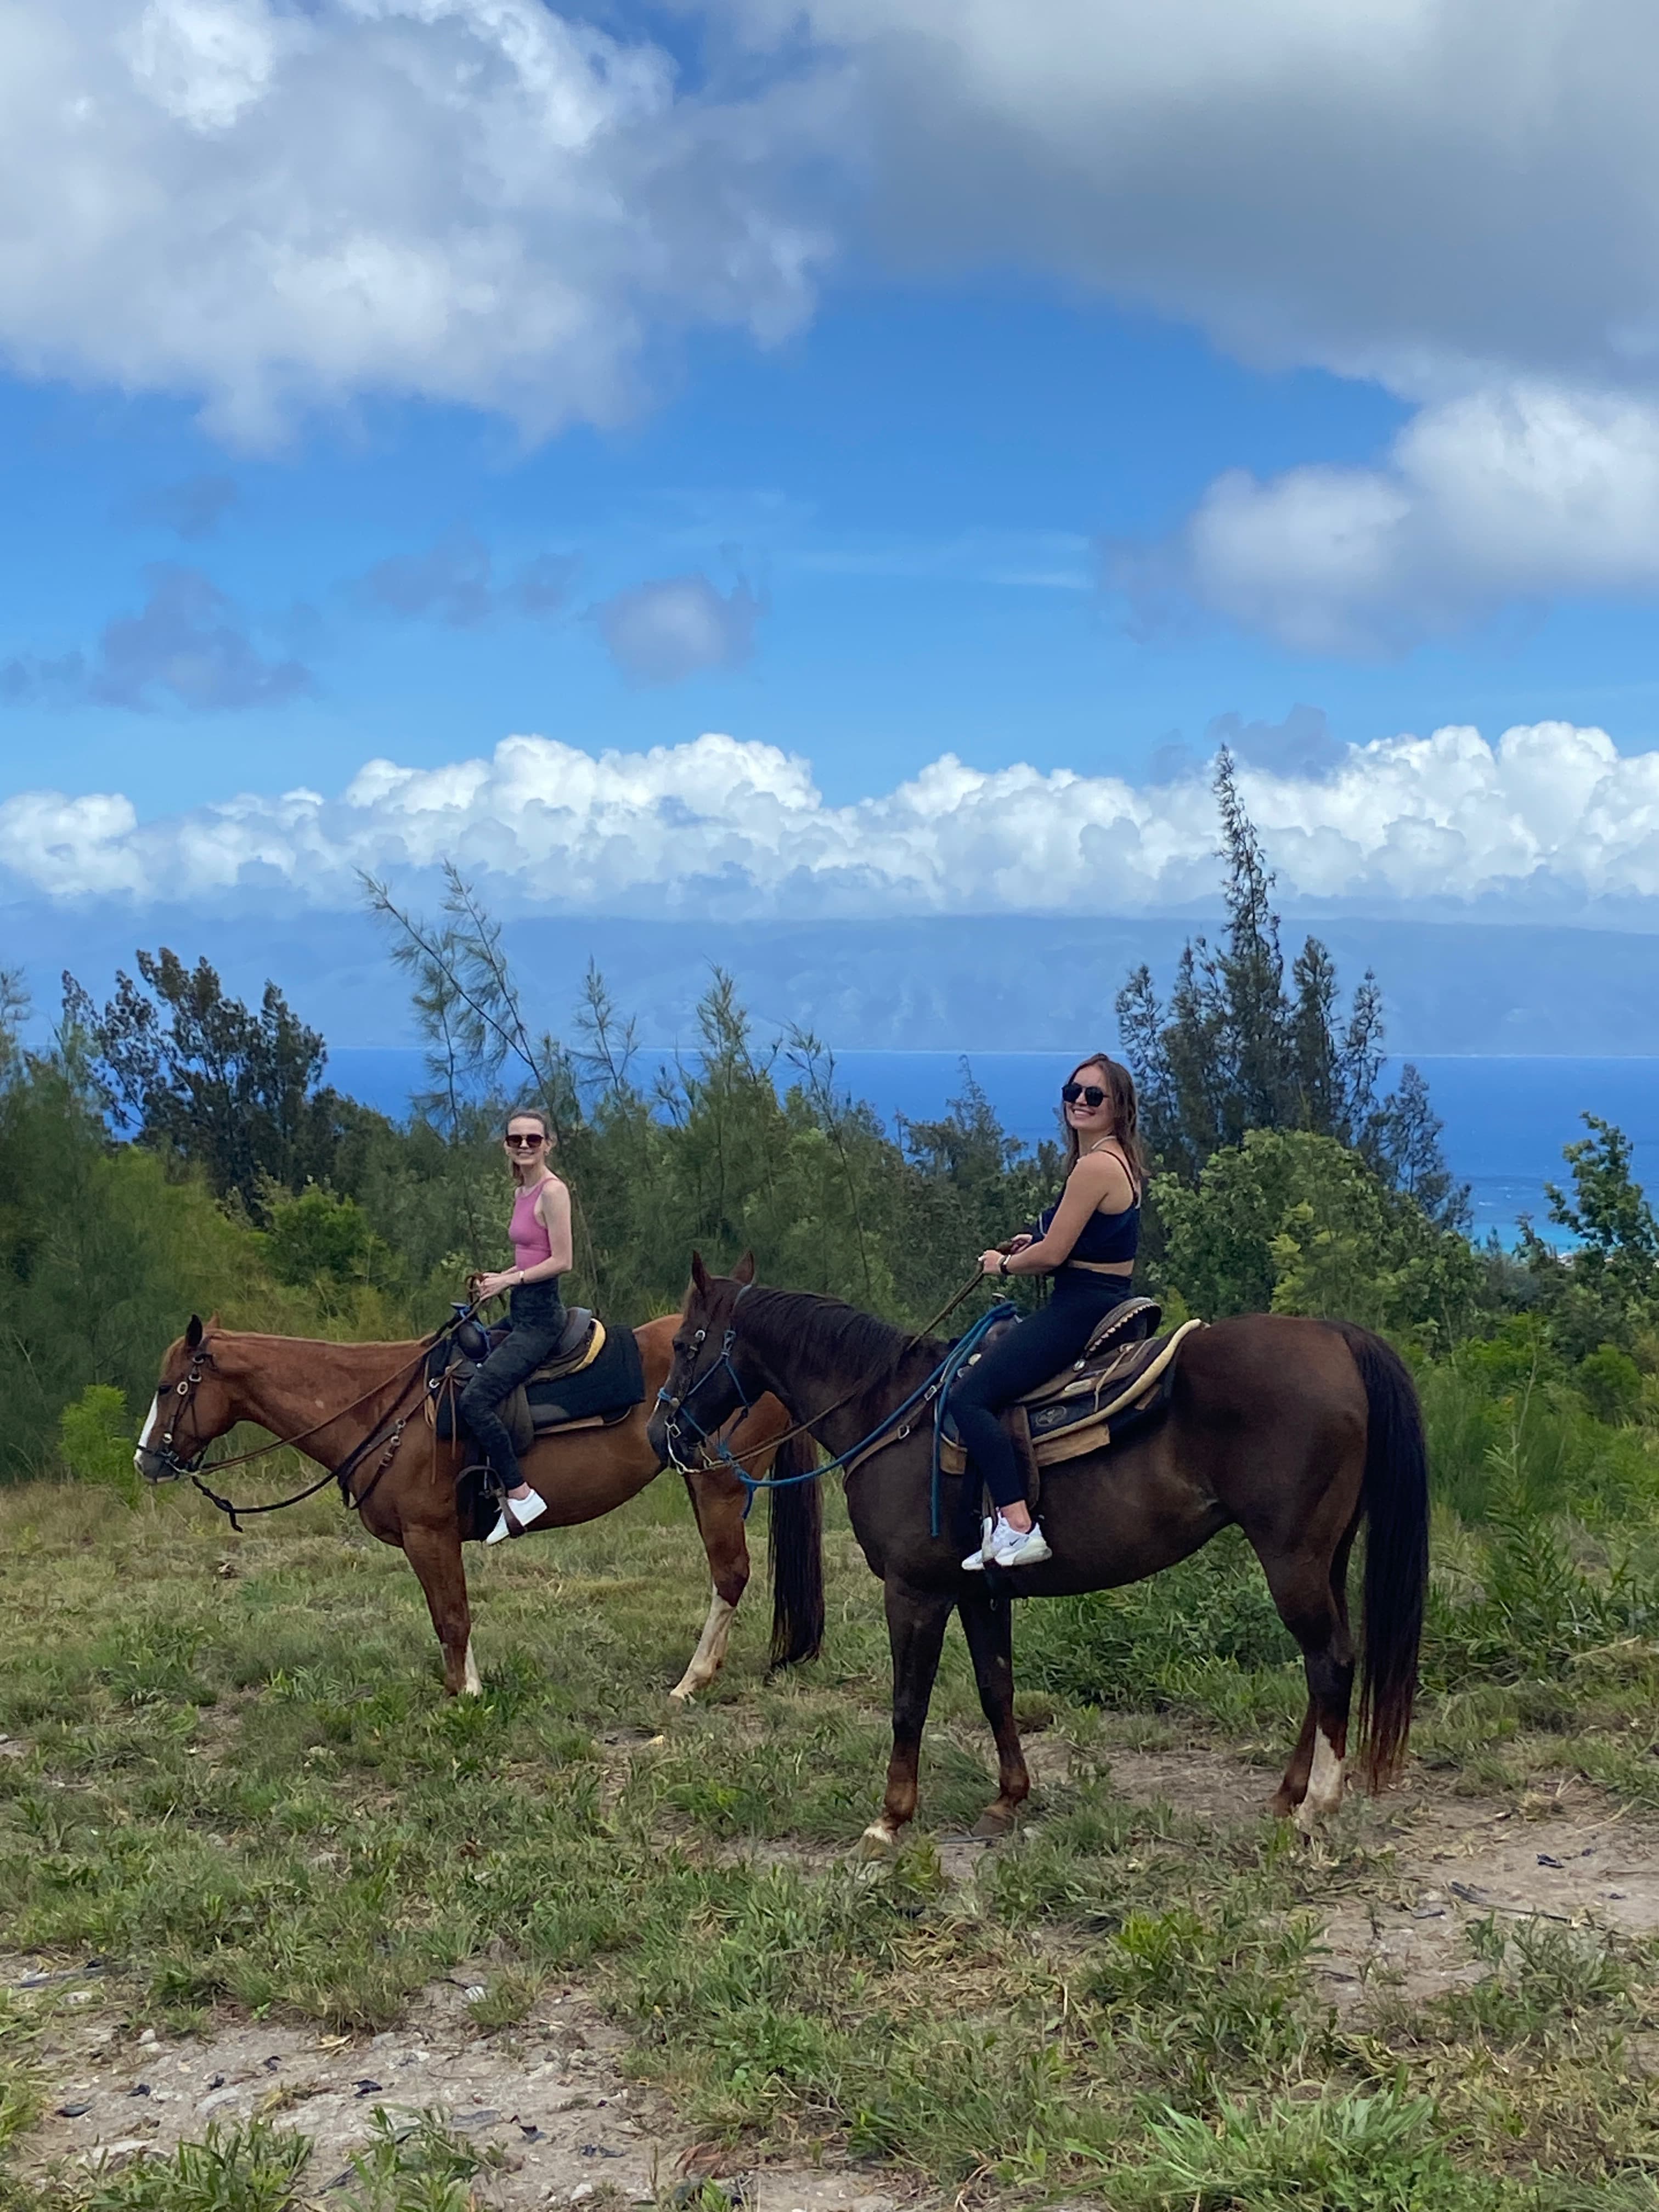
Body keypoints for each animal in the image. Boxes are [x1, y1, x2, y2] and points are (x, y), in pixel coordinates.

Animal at [136, 1311, 822, 1704]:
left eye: (168, 1388)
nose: (147, 1461)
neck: (381, 1407)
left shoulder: (428, 1532)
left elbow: (451, 1618)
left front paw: (464, 1695)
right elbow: (454, 1615)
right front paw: (466, 1683)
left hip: (717, 1485)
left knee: (730, 1576)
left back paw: (692, 1681)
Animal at [648, 1255, 1429, 1848]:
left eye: (688, 1343)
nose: (663, 1433)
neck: (892, 1412)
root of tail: (1336, 1338)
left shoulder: (914, 1590)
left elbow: (908, 1702)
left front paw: (890, 1819)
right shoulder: (977, 1591)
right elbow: (997, 1689)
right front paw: (1008, 1799)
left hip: (1292, 1559)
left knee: (1330, 1661)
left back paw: (1316, 1806)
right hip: (1323, 1558)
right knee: (1326, 1667)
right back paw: (1288, 1794)